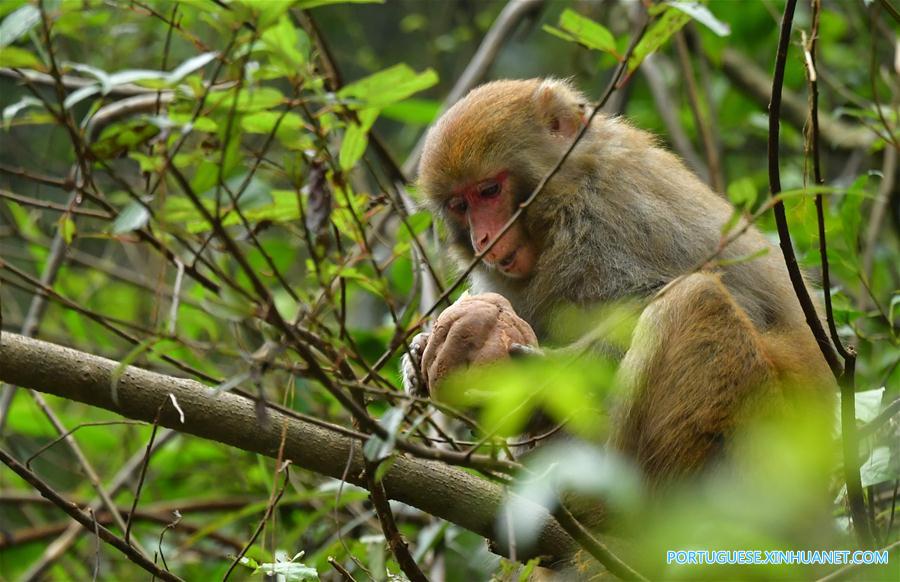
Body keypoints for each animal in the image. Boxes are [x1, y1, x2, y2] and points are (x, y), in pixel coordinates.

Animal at [402, 76, 836, 488]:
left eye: (489, 190)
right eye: (460, 205)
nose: (483, 239)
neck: (562, 202)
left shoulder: (611, 217)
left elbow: (712, 298)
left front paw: (543, 374)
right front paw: (420, 354)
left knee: (695, 298)